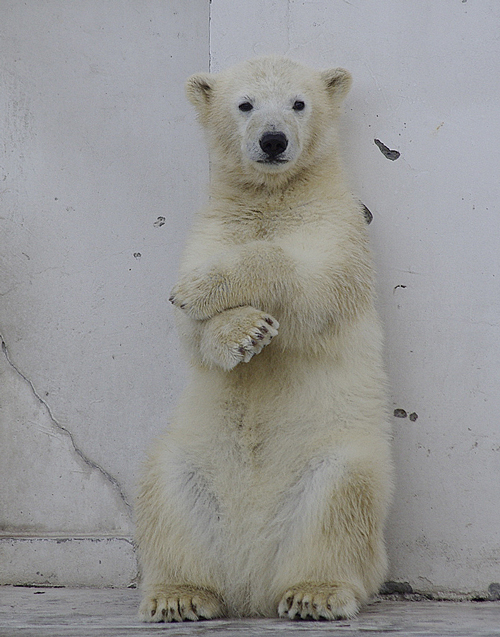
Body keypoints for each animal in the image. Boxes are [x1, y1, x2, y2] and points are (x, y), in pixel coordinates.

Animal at [135, 56, 392, 620]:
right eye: (245, 104)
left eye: (299, 103)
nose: (273, 140)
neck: (276, 194)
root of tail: (250, 580)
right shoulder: (212, 227)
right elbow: (189, 335)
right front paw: (243, 333)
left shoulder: (337, 229)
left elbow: (313, 288)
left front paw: (204, 290)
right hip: (194, 458)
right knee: (167, 486)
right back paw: (181, 594)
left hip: (334, 457)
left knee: (342, 498)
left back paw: (313, 592)